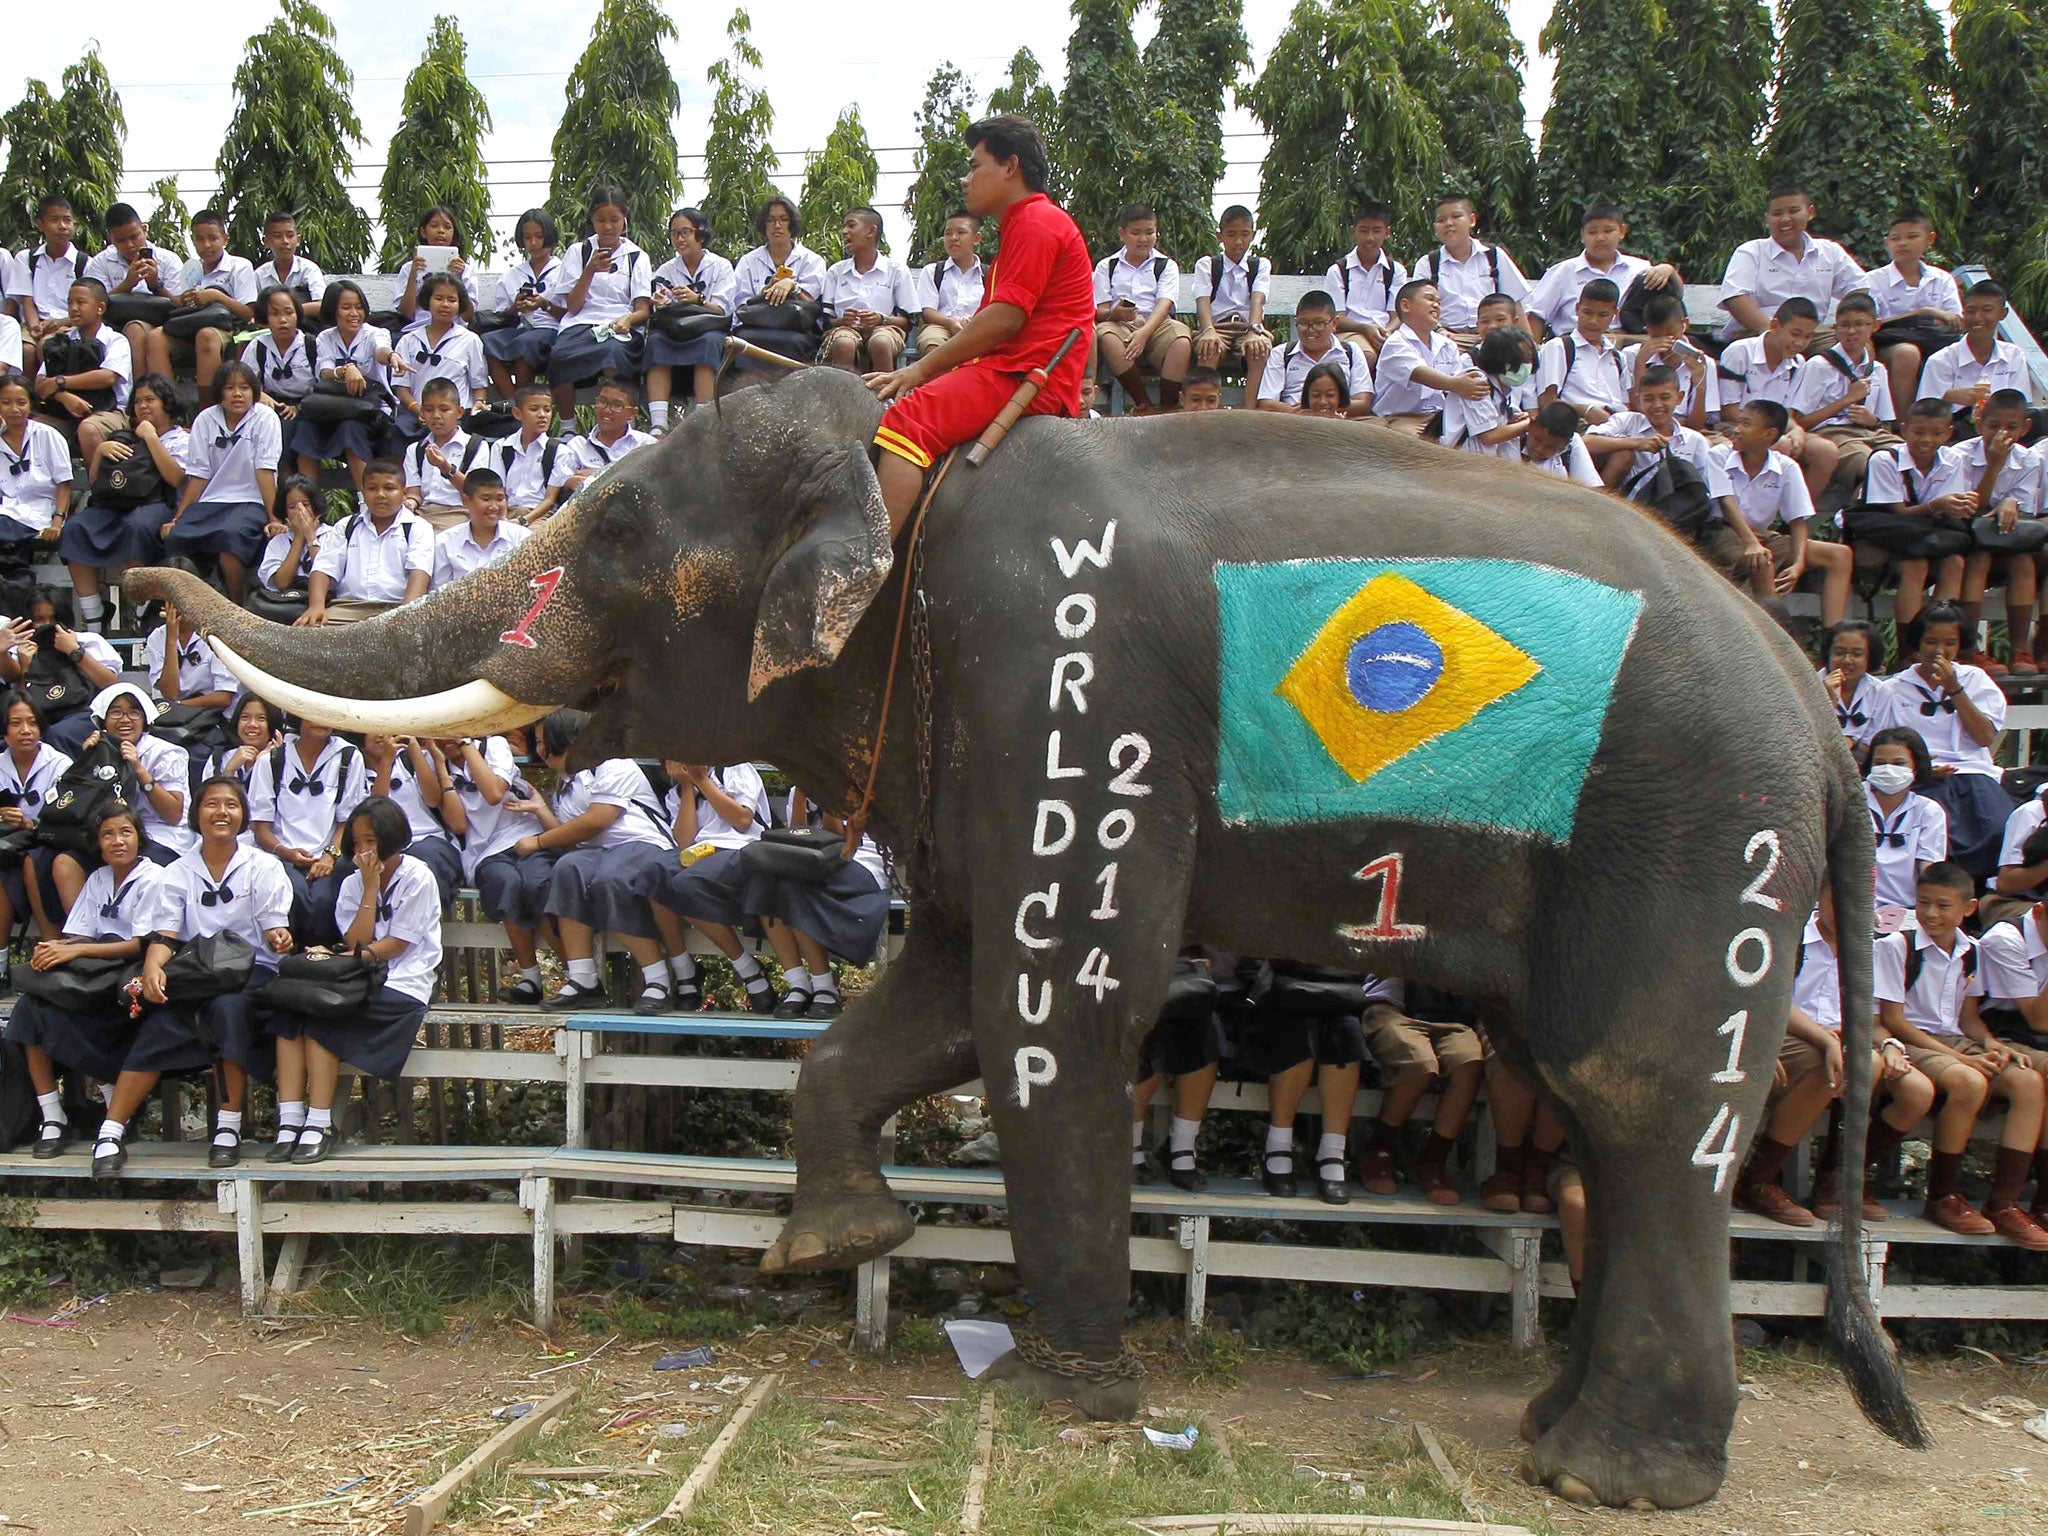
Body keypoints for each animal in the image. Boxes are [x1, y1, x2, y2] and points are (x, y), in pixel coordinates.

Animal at [123, 366, 1916, 1507]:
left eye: (622, 532)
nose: (145, 573)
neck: (905, 458)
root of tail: (1822, 727)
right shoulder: (976, 736)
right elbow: (935, 992)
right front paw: (833, 1252)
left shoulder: (1069, 697)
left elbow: (1055, 1006)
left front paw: (1079, 1393)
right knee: (1598, 1111)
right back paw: (1556, 1430)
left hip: (1700, 845)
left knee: (1638, 1101)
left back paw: (1606, 1475)